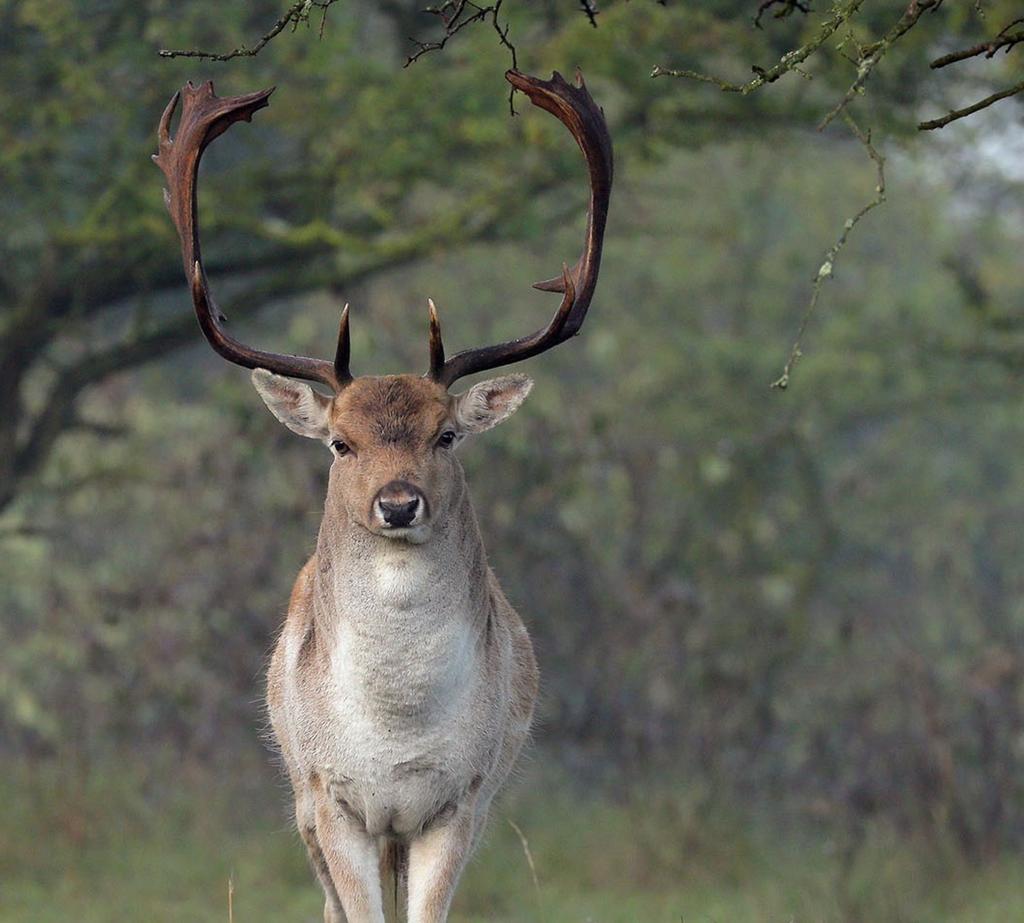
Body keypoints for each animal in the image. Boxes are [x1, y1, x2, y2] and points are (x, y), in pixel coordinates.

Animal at [153, 66, 606, 921]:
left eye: (447, 434)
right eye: (341, 441)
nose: (398, 503)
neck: (397, 739)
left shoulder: (461, 800)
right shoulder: (333, 799)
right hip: (300, 801)